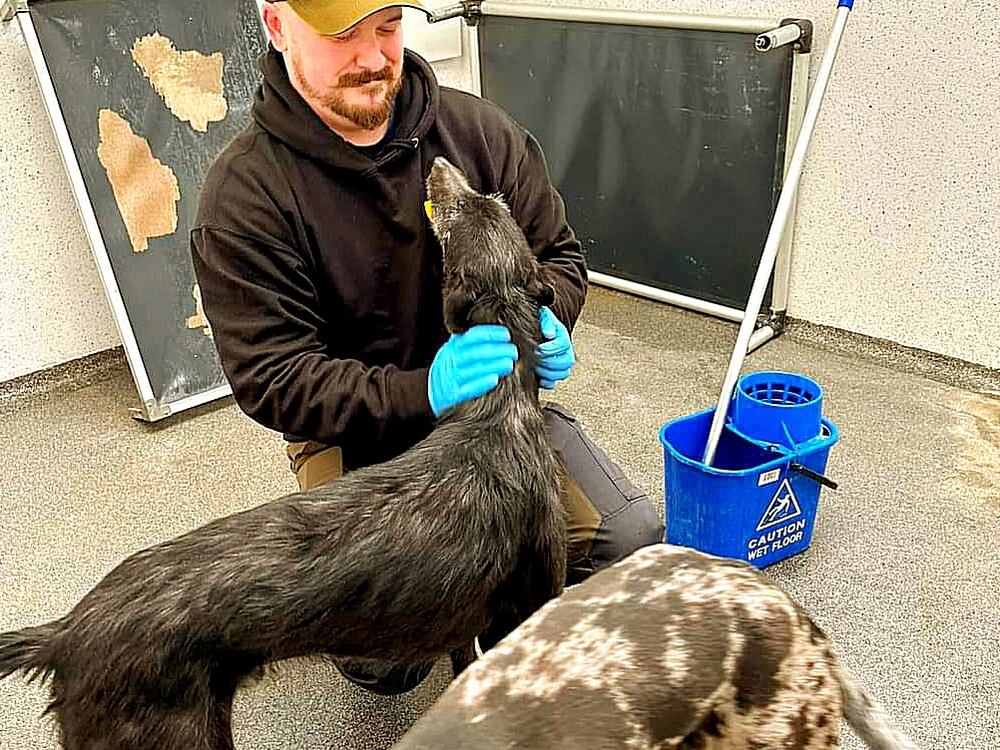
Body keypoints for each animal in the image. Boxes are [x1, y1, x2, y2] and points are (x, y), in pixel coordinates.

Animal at [0, 156, 568, 748]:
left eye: (491, 201)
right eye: (458, 216)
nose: (437, 165)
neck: (496, 407)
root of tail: (64, 633)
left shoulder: (466, 629)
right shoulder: (534, 600)